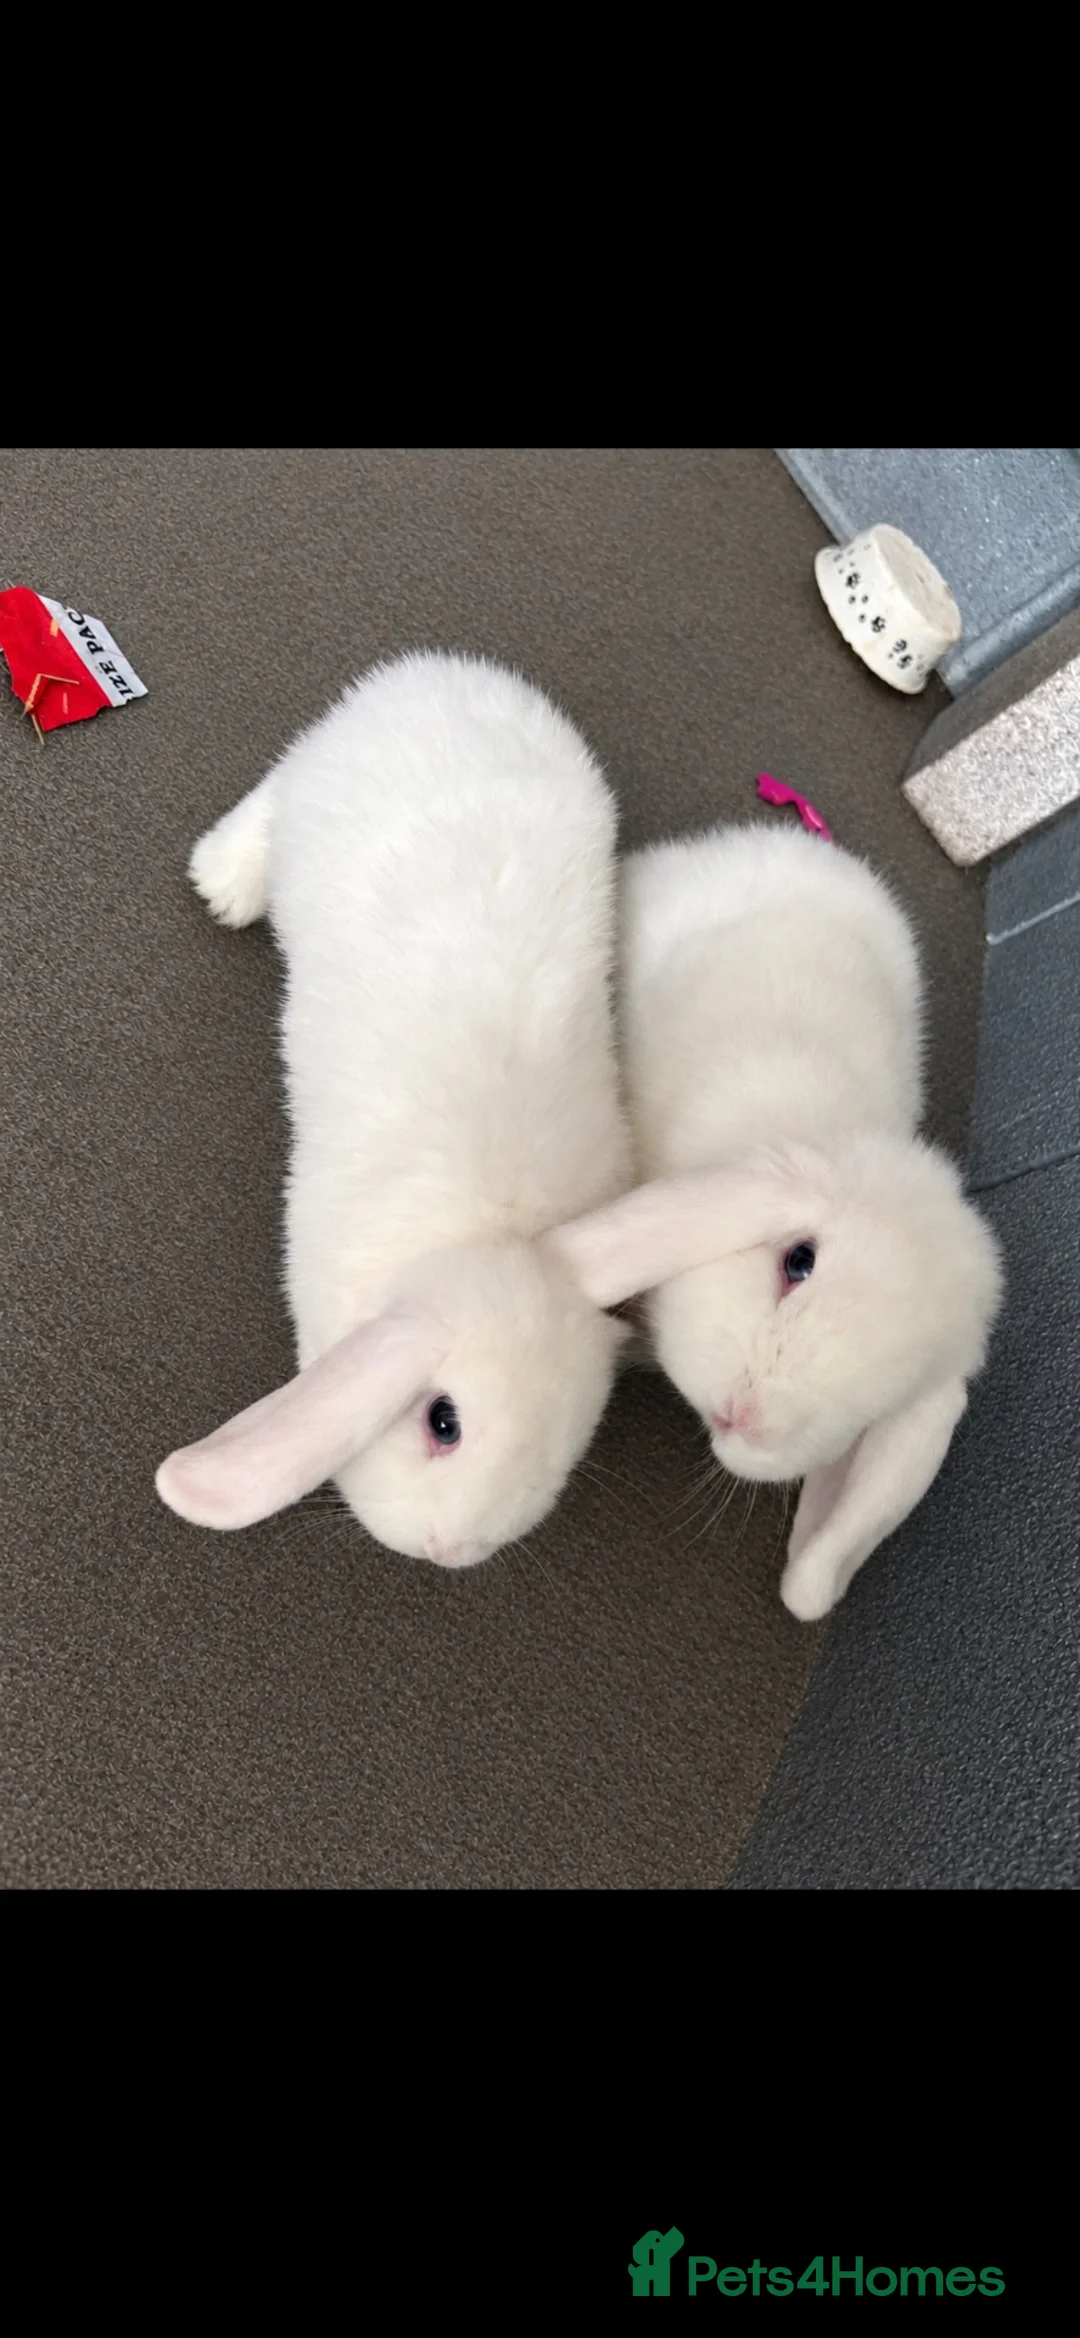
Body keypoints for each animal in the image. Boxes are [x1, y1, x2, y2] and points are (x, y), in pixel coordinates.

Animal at [155, 650, 637, 1568]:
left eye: (562, 1454)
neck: (490, 1237)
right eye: (442, 1422)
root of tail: (441, 673)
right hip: (314, 784)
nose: (449, 1549)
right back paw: (222, 885)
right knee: (270, 797)